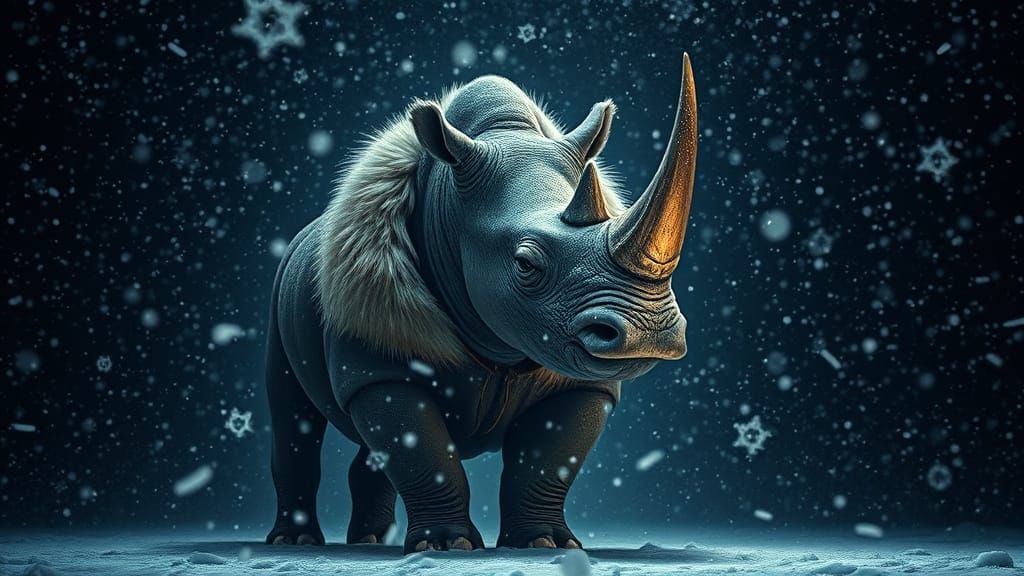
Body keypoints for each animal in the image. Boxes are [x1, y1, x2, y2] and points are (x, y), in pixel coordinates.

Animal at [265, 54, 698, 553]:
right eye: (526, 264)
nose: (650, 332)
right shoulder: (378, 361)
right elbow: (423, 453)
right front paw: (445, 546)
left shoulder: (579, 379)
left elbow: (548, 462)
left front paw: (546, 544)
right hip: (282, 288)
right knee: (291, 416)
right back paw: (295, 542)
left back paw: (369, 541)